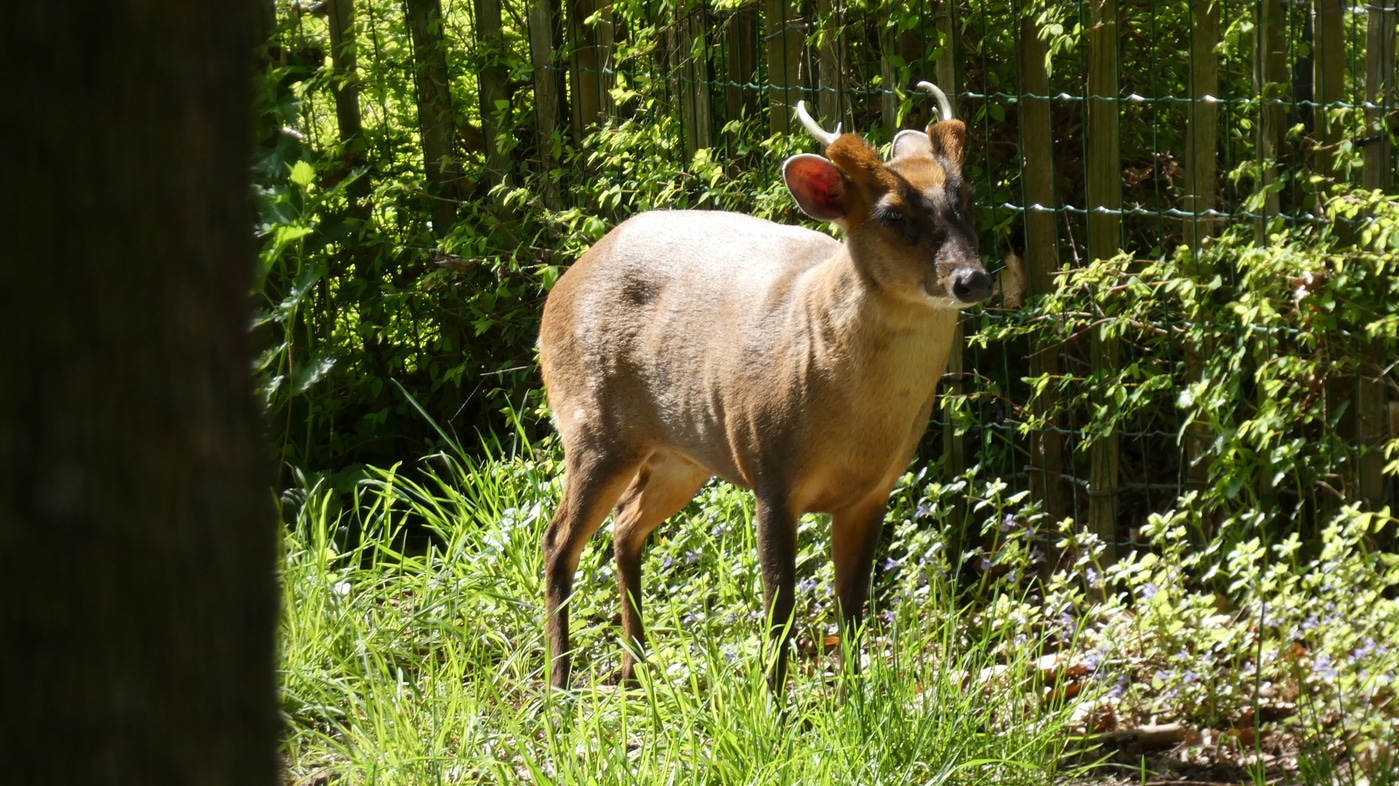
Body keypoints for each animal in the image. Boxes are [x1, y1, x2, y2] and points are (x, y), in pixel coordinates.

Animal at [537, 82, 996, 688]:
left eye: (965, 197)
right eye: (892, 215)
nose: (973, 279)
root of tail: (558, 289)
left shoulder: (874, 490)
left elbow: (853, 608)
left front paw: (853, 699)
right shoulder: (771, 473)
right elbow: (780, 611)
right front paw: (774, 706)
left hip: (683, 453)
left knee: (625, 525)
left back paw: (637, 669)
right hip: (593, 428)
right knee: (558, 541)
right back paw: (559, 685)